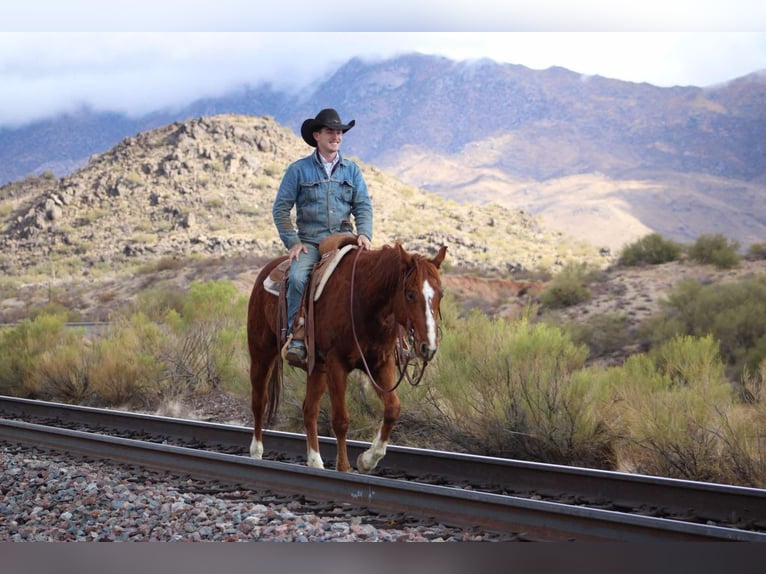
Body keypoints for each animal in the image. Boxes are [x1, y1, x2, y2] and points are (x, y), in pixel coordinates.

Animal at [249, 241, 448, 474]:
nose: (429, 347)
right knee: (260, 401)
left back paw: (315, 462)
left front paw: (368, 460)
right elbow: (341, 420)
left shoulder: (381, 363)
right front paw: (343, 467)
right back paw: (256, 453)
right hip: (261, 353)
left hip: (317, 368)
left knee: (309, 409)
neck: (365, 303)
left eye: (440, 294)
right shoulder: (337, 364)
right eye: (410, 294)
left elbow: (392, 409)